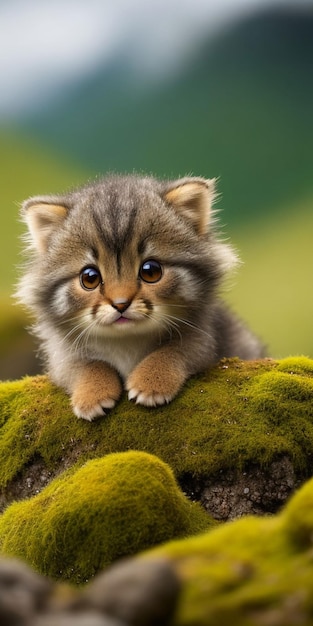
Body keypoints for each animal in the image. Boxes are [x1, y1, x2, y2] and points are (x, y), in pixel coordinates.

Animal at [16, 173, 264, 420]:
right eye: (90, 278)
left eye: (150, 271)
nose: (120, 304)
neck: (126, 341)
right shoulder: (61, 356)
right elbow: (84, 365)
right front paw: (92, 393)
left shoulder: (207, 338)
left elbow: (175, 350)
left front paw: (151, 380)